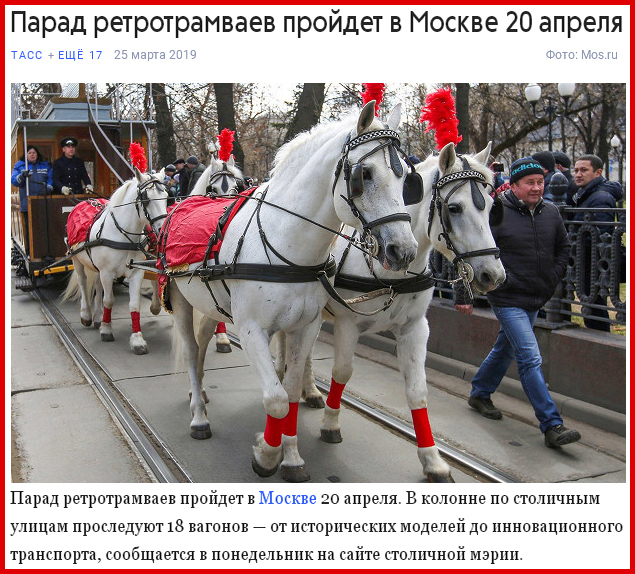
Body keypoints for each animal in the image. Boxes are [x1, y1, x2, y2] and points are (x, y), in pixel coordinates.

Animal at [62, 169, 169, 354]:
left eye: (166, 197)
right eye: (146, 199)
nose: (163, 230)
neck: (123, 235)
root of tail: (85, 201)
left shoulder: (135, 273)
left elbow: (134, 305)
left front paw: (137, 340)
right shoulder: (107, 272)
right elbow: (109, 300)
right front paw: (106, 330)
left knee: (97, 286)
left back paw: (98, 317)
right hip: (77, 260)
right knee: (83, 282)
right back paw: (87, 314)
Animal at [168, 102, 418, 482]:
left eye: (407, 178)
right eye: (365, 174)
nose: (403, 251)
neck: (287, 242)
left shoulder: (306, 326)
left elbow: (290, 389)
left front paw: (291, 455)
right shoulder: (251, 329)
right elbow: (275, 399)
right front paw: (267, 455)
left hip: (211, 305)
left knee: (202, 343)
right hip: (181, 301)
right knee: (192, 347)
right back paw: (199, 415)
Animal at [274, 142, 506, 484]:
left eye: (491, 207)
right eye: (454, 208)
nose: (494, 275)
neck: (392, 272)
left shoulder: (415, 328)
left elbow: (417, 391)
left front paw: (433, 461)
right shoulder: (347, 324)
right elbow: (342, 373)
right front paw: (331, 424)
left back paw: (311, 390)